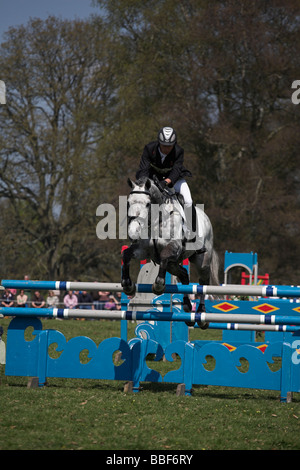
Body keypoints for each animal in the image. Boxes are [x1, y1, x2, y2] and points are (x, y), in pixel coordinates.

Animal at [120, 178, 219, 328]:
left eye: (148, 204)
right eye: (128, 203)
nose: (133, 231)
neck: (157, 220)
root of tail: (205, 218)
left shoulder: (174, 247)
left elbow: (163, 257)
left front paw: (159, 285)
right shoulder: (142, 250)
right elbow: (126, 255)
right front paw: (128, 285)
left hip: (202, 261)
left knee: (203, 283)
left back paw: (201, 314)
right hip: (173, 265)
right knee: (184, 275)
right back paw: (187, 308)